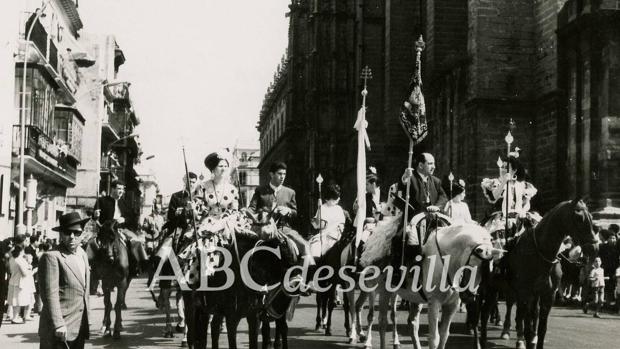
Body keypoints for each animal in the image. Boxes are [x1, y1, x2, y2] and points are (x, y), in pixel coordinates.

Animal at [368, 223, 504, 348]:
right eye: (470, 267)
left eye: (489, 269)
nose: (469, 296)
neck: (447, 262)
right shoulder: (434, 303)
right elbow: (434, 338)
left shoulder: (451, 306)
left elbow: (444, 335)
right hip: (384, 291)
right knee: (382, 322)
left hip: (411, 298)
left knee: (412, 323)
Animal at [506, 198, 600, 348]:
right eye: (579, 218)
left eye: (592, 218)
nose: (594, 248)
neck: (541, 253)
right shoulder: (525, 292)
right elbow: (526, 324)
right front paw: (524, 337)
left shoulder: (547, 295)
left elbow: (542, 328)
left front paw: (535, 338)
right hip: (514, 290)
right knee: (514, 309)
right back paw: (512, 334)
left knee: (532, 313)